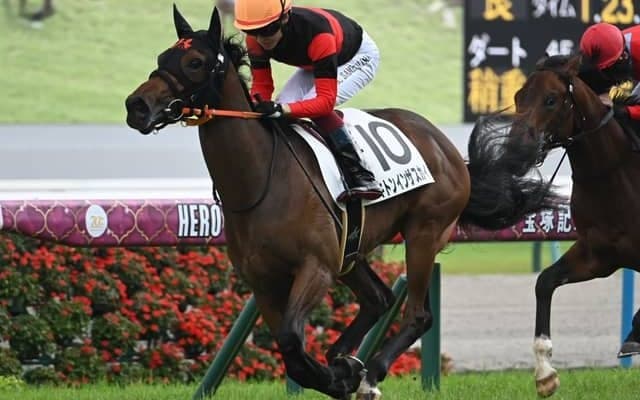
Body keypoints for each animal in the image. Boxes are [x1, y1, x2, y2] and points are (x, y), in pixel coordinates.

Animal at [125, 5, 559, 399]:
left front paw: (340, 376)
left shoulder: (316, 267)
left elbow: (292, 342)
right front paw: (339, 372)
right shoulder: (263, 281)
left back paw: (370, 373)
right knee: (379, 299)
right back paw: (347, 358)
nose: (136, 106)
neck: (260, 181)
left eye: (195, 62)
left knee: (417, 314)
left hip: (424, 233)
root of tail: (445, 146)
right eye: (162, 58)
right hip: (351, 250)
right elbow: (290, 351)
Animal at [506, 53, 640, 397]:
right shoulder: (599, 254)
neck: (614, 175)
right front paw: (545, 374)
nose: (516, 149)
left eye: (551, 99)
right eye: (518, 96)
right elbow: (544, 282)